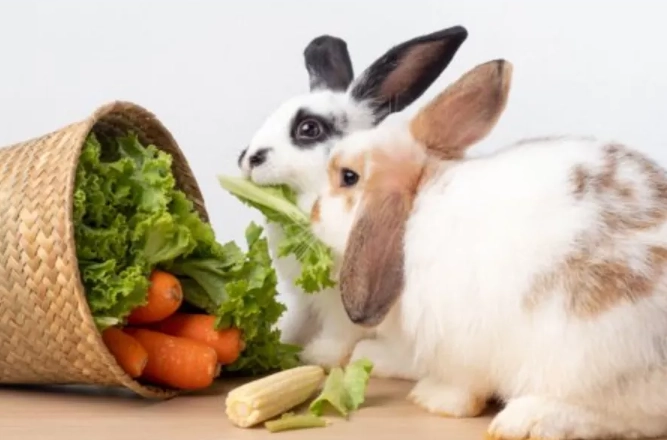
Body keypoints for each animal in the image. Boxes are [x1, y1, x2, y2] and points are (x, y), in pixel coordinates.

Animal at [237, 26, 469, 370]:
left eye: (309, 128)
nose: (249, 159)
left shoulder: (343, 301)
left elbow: (339, 332)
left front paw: (318, 355)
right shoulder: (304, 299)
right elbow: (295, 321)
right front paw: (284, 342)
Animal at [309, 57, 667, 440]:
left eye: (348, 177)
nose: (313, 213)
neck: (417, 203)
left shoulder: (457, 343)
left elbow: (462, 388)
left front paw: (433, 398)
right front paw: (371, 355)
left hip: (590, 354)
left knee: (629, 416)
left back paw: (526, 419)